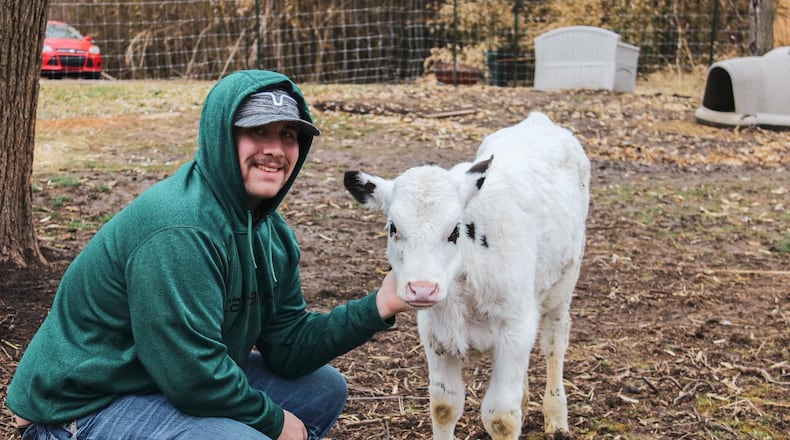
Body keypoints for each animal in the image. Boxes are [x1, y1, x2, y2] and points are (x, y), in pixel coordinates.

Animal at [344, 112, 590, 439]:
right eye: (393, 228)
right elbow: (444, 406)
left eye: (455, 231)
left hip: (563, 284)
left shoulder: (514, 330)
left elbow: (501, 418)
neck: (466, 286)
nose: (422, 289)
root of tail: (539, 120)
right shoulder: (435, 335)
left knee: (554, 343)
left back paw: (556, 417)